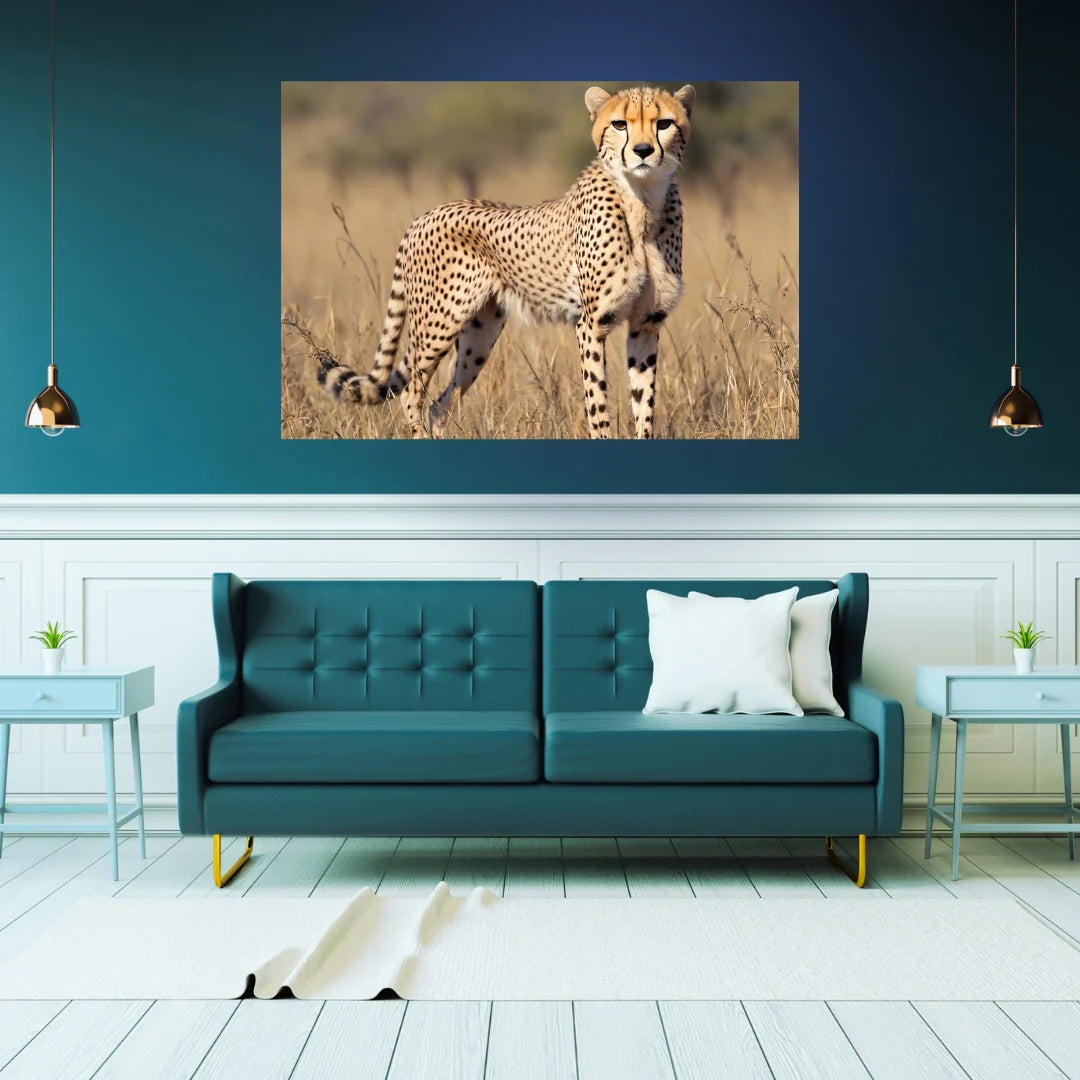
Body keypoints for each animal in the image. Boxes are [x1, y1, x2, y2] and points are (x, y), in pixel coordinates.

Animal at [317, 84, 695, 439]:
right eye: (619, 124)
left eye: (664, 123)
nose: (643, 151)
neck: (643, 201)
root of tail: (426, 214)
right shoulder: (591, 324)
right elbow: (597, 401)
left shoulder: (646, 322)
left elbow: (644, 403)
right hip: (438, 323)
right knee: (412, 391)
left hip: (478, 335)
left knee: (440, 403)